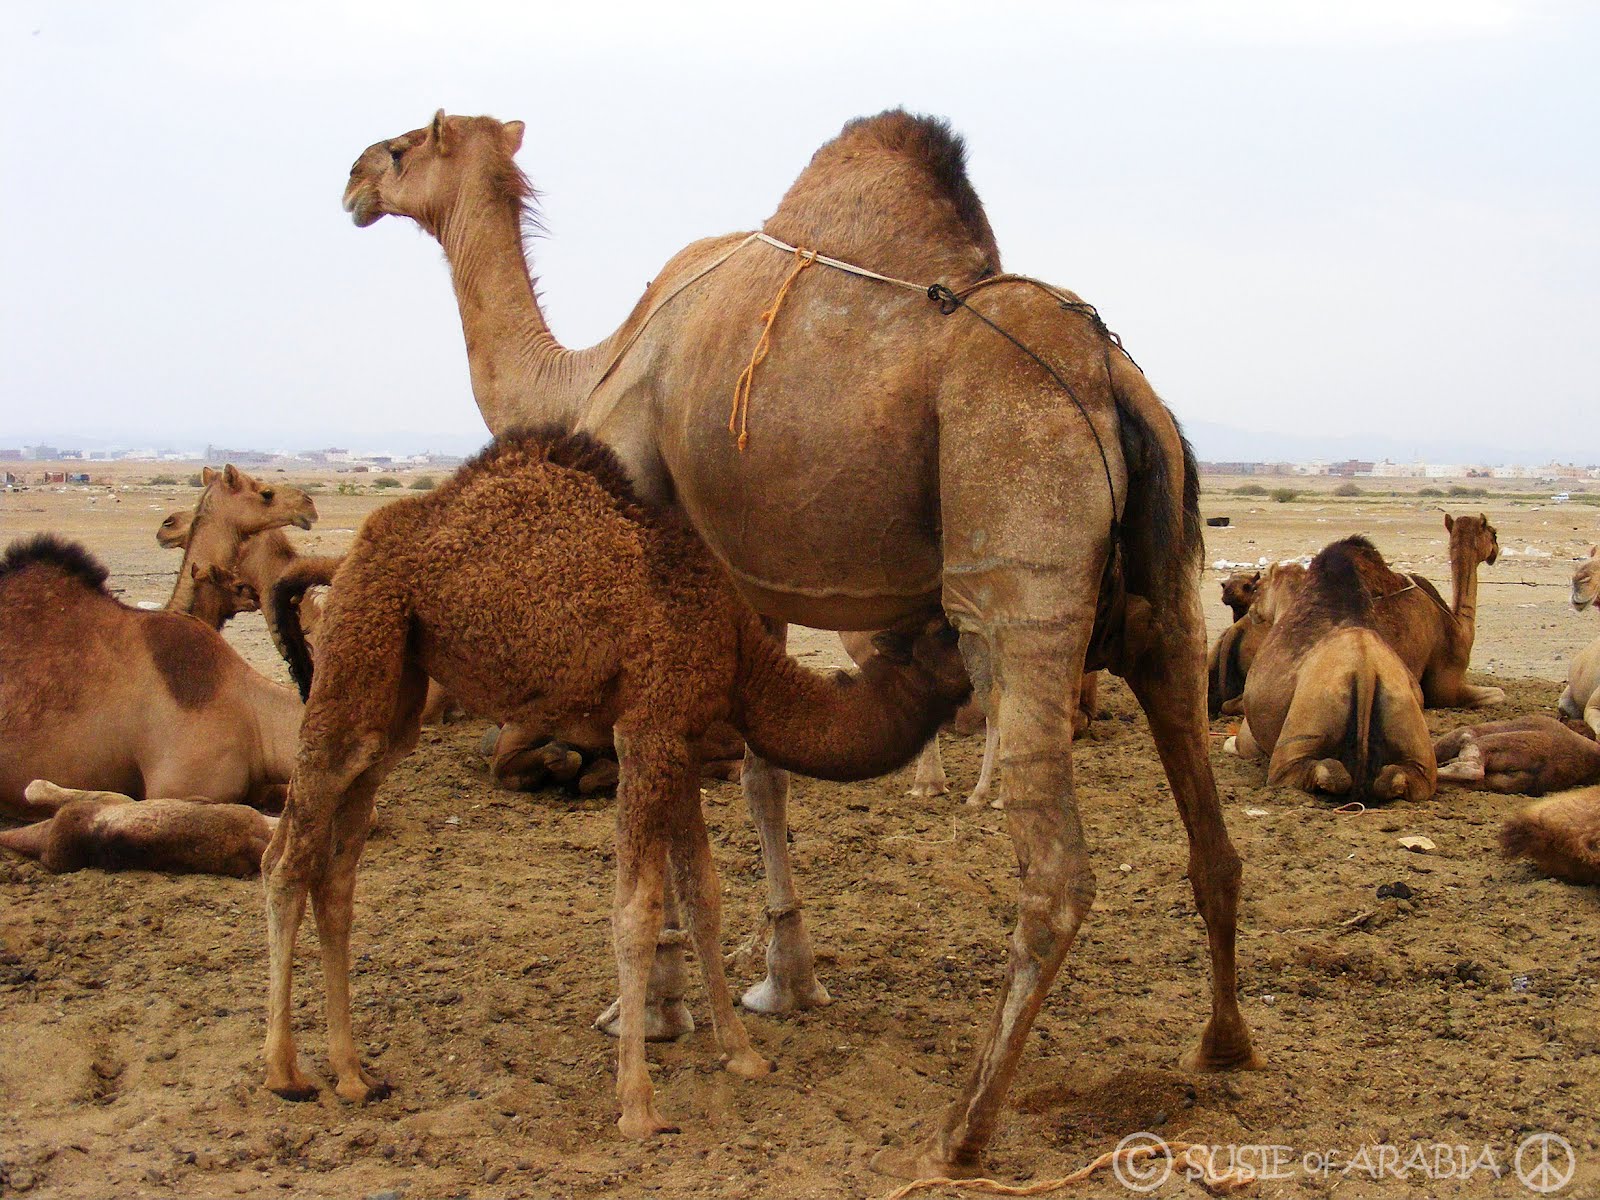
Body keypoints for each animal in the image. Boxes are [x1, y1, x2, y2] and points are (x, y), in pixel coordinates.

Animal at [260, 428, 972, 1139]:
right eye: (949, 634)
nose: (979, 676)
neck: (736, 646)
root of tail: (348, 554)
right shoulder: (647, 725)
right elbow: (636, 909)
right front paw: (638, 1103)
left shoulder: (680, 738)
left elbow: (703, 895)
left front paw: (741, 1053)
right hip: (362, 637)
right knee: (286, 858)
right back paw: (285, 1074)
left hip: (394, 687)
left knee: (340, 864)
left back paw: (353, 1074)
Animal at [342, 110, 1256, 1175]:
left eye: (405, 145)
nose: (352, 182)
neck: (591, 371)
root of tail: (1114, 383)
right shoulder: (744, 583)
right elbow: (759, 776)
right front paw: (784, 979)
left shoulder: (656, 547)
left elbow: (677, 786)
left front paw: (655, 1007)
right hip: (1168, 592)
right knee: (1211, 830)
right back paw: (1221, 1046)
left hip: (1019, 555)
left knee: (1056, 871)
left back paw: (962, 1127)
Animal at [1228, 537, 1436, 802]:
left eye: (1258, 587)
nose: (1252, 610)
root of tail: (1366, 669)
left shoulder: (1250, 737)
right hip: (1408, 720)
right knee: (1408, 776)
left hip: (1305, 724)